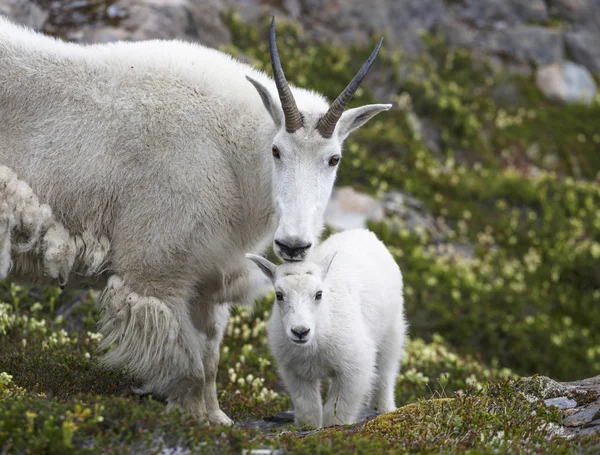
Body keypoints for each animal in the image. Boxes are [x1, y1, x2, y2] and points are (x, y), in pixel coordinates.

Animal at [0, 16, 392, 426]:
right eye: (276, 150)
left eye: (334, 159)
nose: (293, 245)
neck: (230, 154)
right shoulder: (157, 271)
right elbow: (186, 360)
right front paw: (191, 418)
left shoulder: (208, 277)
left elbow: (210, 357)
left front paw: (217, 418)